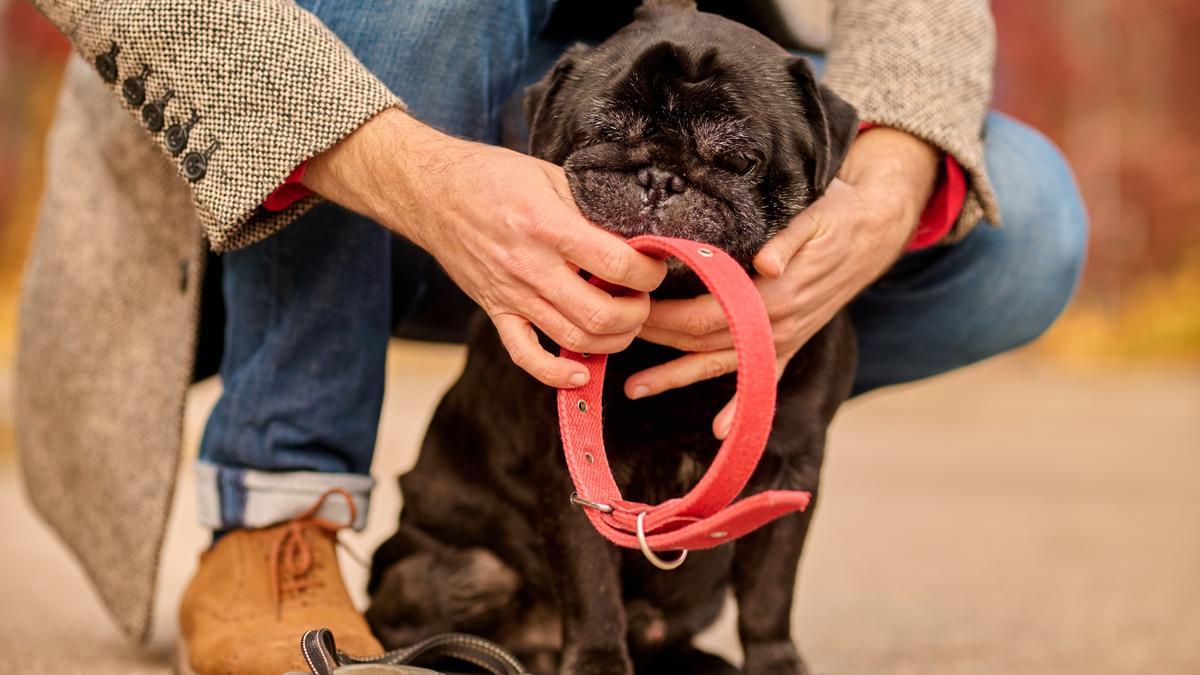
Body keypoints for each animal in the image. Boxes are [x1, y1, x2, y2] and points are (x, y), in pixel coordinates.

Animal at [369, 2, 859, 667]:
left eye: (739, 161)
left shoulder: (790, 469)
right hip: (457, 570)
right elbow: (592, 582)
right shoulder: (577, 475)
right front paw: (599, 660)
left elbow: (769, 594)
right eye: (602, 135)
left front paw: (775, 662)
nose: (660, 177)